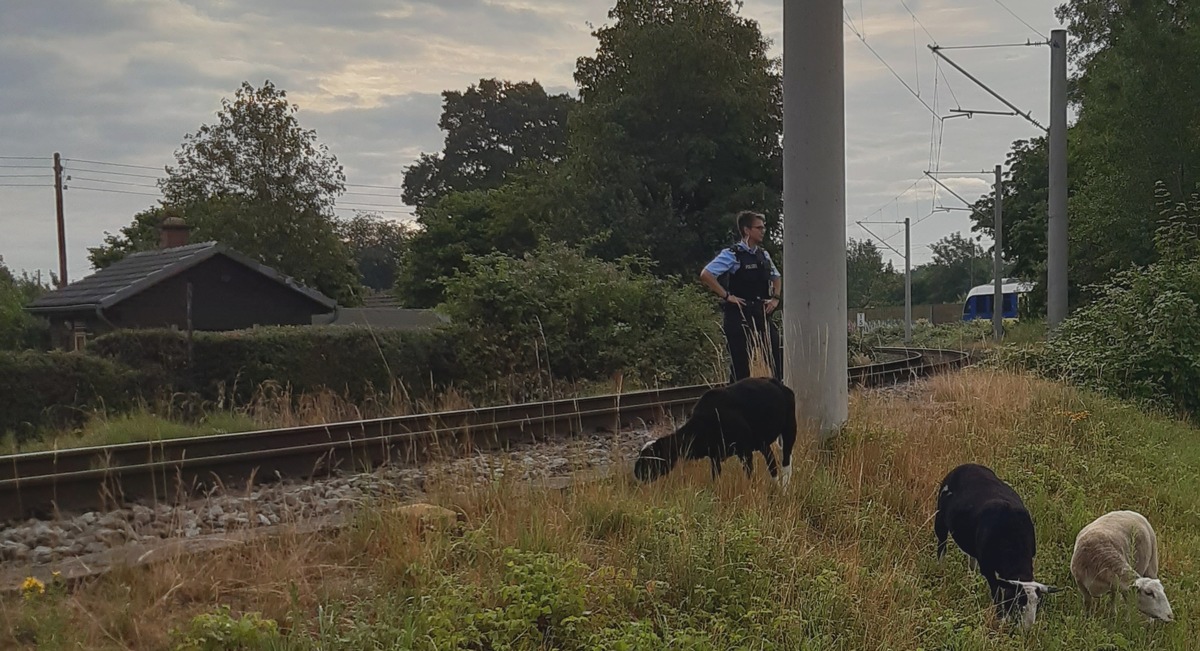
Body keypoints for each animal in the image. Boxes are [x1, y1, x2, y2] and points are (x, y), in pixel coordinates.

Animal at [628, 377, 796, 485]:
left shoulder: (746, 451)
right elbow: (716, 477)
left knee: (785, 461)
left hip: (788, 429)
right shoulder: (715, 456)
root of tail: (777, 383)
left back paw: (784, 488)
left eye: (651, 458)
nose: (636, 473)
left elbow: (752, 475)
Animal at [926, 463, 1060, 634]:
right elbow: (996, 593)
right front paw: (1001, 619)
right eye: (1018, 602)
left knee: (971, 559)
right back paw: (941, 569)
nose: (1026, 629)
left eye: (1038, 604)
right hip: (940, 520)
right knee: (941, 546)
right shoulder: (988, 568)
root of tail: (966, 465)